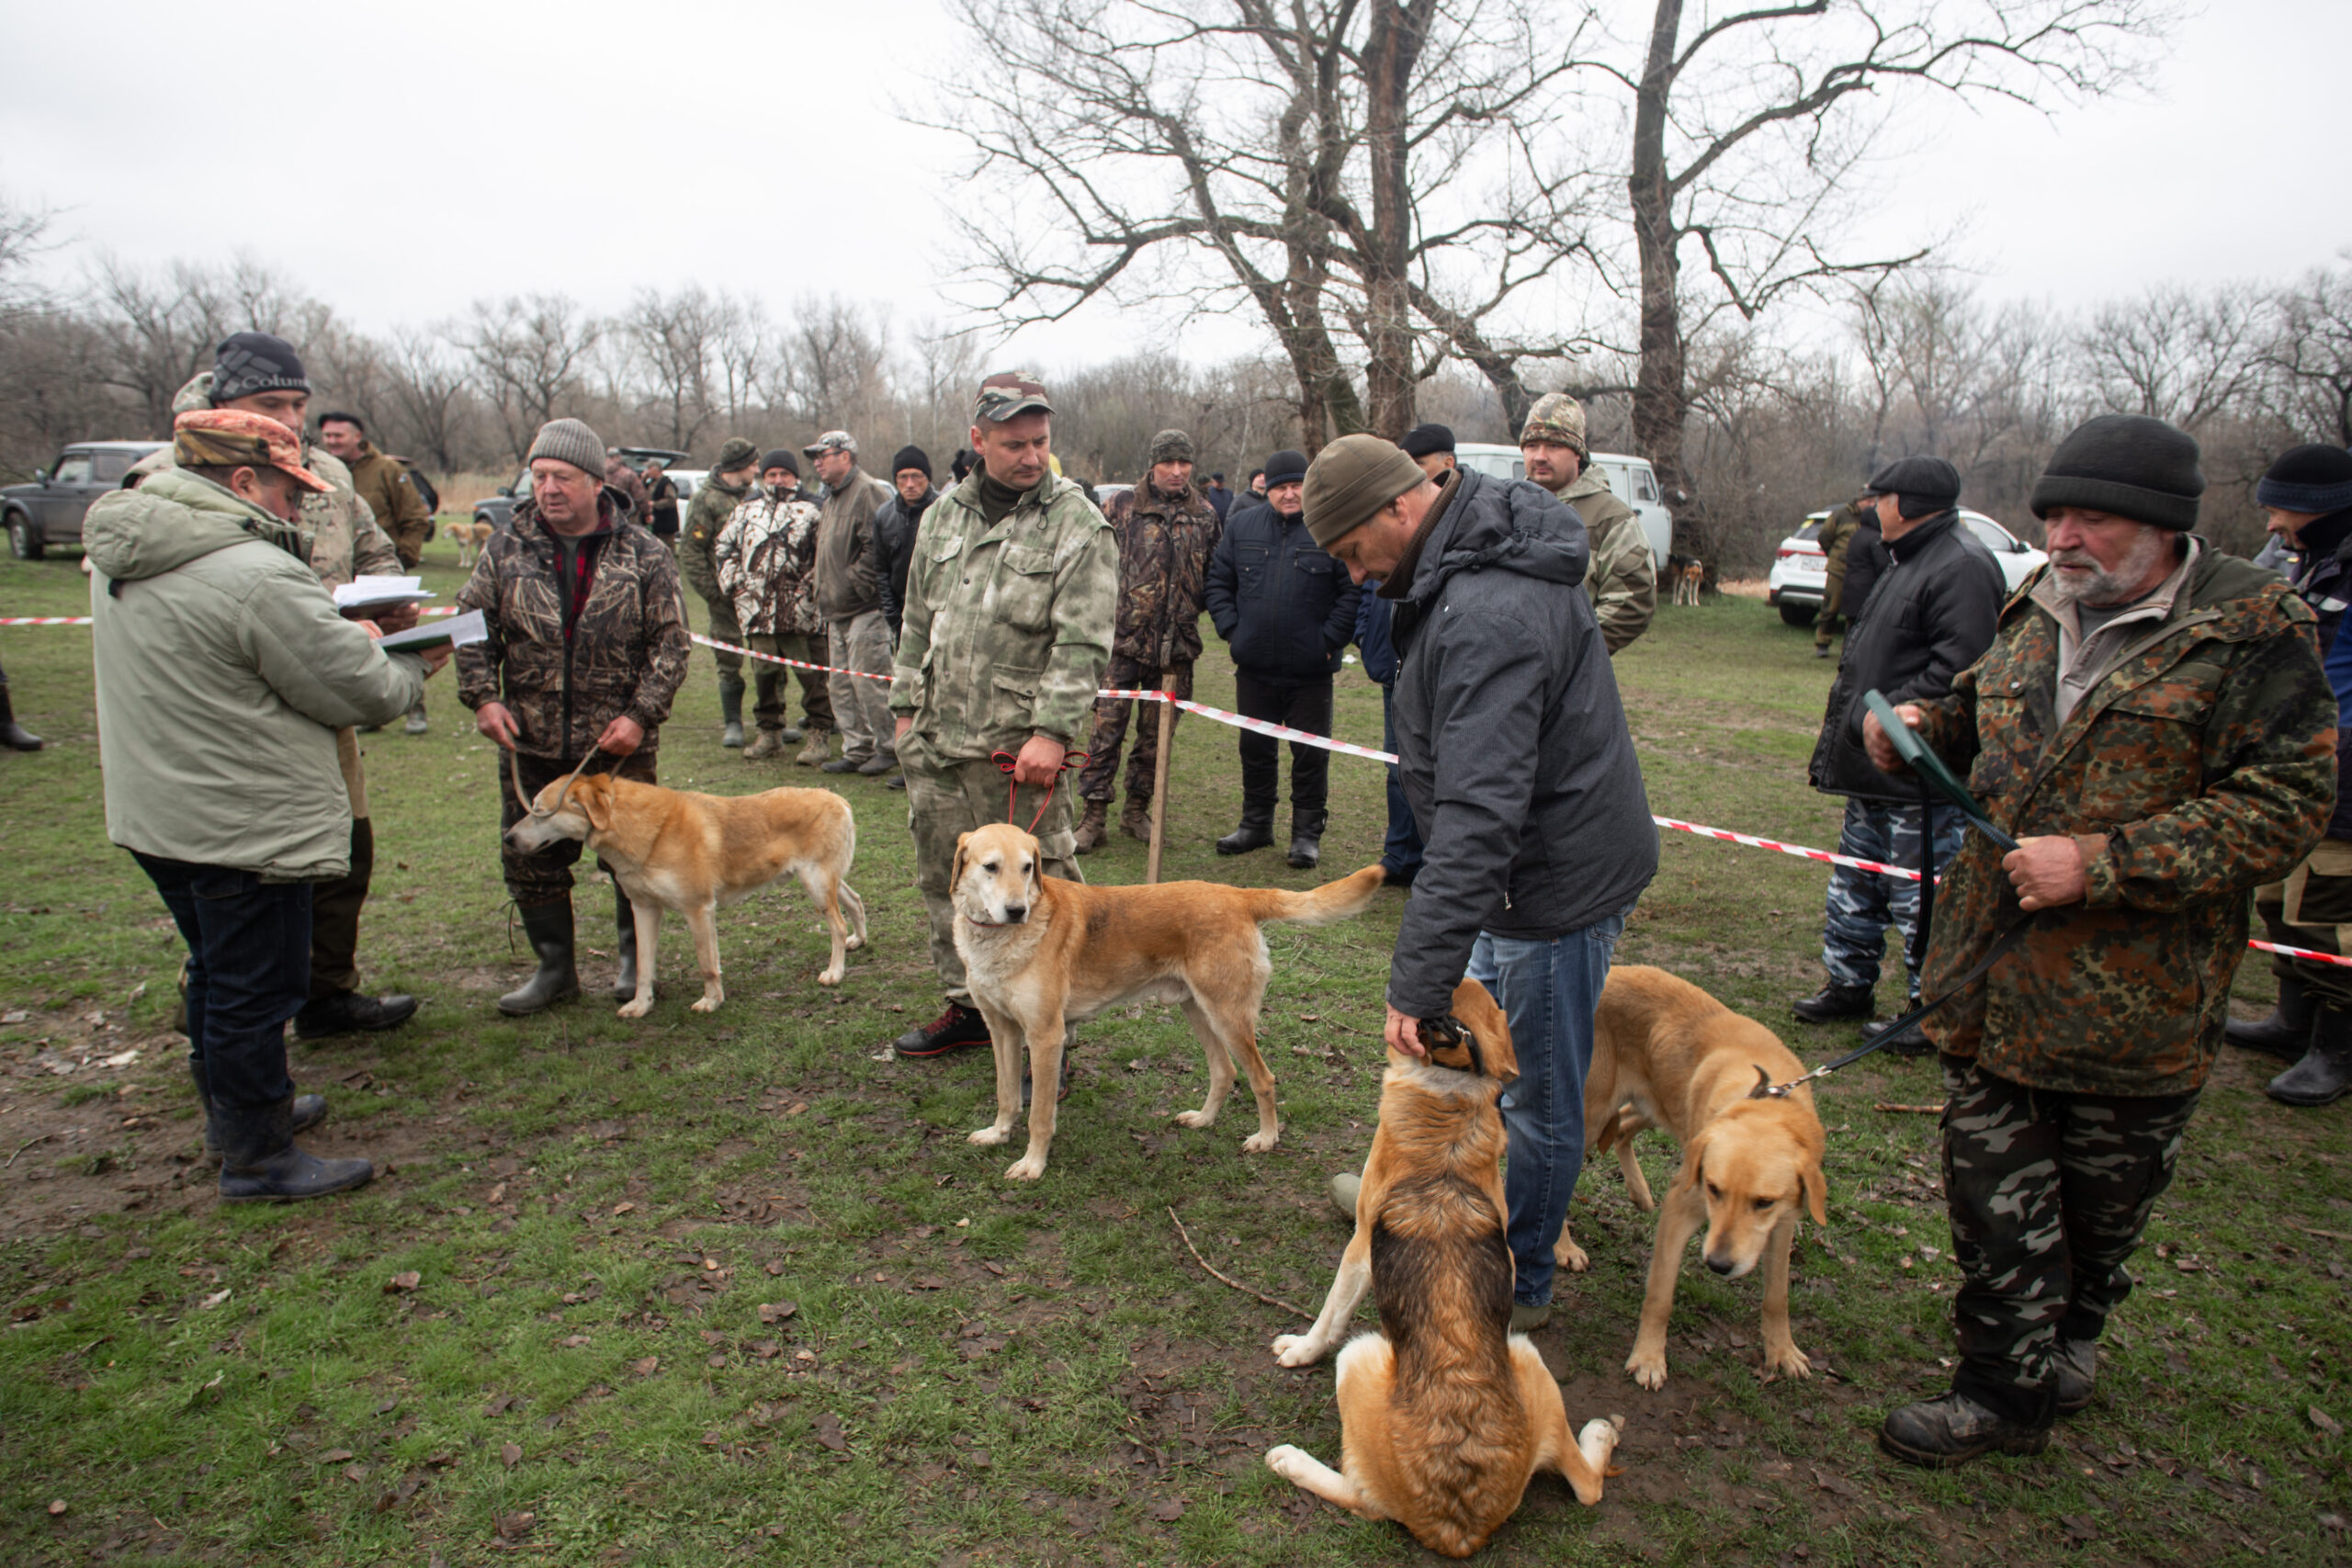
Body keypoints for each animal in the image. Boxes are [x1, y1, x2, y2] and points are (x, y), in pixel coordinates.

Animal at [503, 771, 865, 1020]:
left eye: (540, 812)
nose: (507, 839)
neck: (646, 830)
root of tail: (839, 800)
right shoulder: (644, 909)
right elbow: (643, 966)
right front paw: (640, 1004)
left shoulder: (698, 909)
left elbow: (707, 964)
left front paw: (711, 1001)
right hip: (826, 882)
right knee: (855, 901)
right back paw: (859, 940)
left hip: (816, 884)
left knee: (837, 925)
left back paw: (835, 972)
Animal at [945, 827, 1383, 1184]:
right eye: (990, 867)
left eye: (1027, 868)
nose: (1017, 911)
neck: (999, 941)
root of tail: (1238, 895)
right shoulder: (1001, 1028)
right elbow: (1006, 1094)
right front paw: (998, 1134)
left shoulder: (1045, 1036)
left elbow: (1039, 1114)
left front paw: (1033, 1164)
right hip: (1198, 1011)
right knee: (1224, 1072)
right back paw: (1204, 1120)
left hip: (1229, 1018)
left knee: (1263, 1079)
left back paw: (1267, 1138)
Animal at [1261, 982, 1627, 1561]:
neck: (1454, 1098)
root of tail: (1458, 1526)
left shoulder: (1360, 1247)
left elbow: (1329, 1314)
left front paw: (1299, 1350)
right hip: (1530, 1366)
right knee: (1587, 1485)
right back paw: (1601, 1435)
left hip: (1362, 1357)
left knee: (1362, 1498)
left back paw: (1289, 1460)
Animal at [1561, 968, 1834, 1382]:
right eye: (1713, 1189)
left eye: (1764, 1202)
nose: (1719, 1265)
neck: (1764, 1103)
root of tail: (1616, 969)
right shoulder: (1682, 1204)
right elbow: (1660, 1295)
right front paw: (1648, 1359)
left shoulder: (1783, 1222)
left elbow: (1777, 1297)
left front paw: (1783, 1351)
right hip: (1590, 1116)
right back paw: (1564, 1248)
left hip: (1659, 1104)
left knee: (1623, 1127)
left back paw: (1640, 1192)